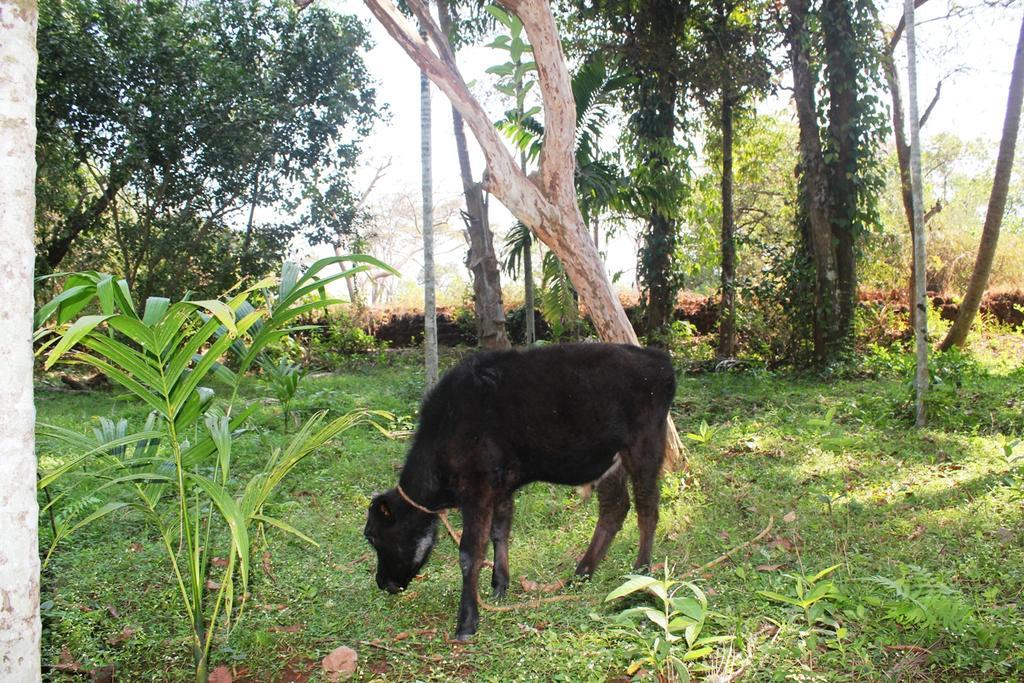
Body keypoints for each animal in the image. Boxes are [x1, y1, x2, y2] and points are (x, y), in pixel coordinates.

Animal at [364, 344, 675, 638]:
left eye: (373, 536)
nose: (383, 583)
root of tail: (658, 359)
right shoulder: (501, 486)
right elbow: (499, 532)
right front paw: (499, 586)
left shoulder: (477, 488)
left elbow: (470, 552)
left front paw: (467, 621)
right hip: (611, 462)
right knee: (615, 508)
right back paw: (582, 574)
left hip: (645, 447)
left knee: (647, 509)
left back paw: (640, 574)